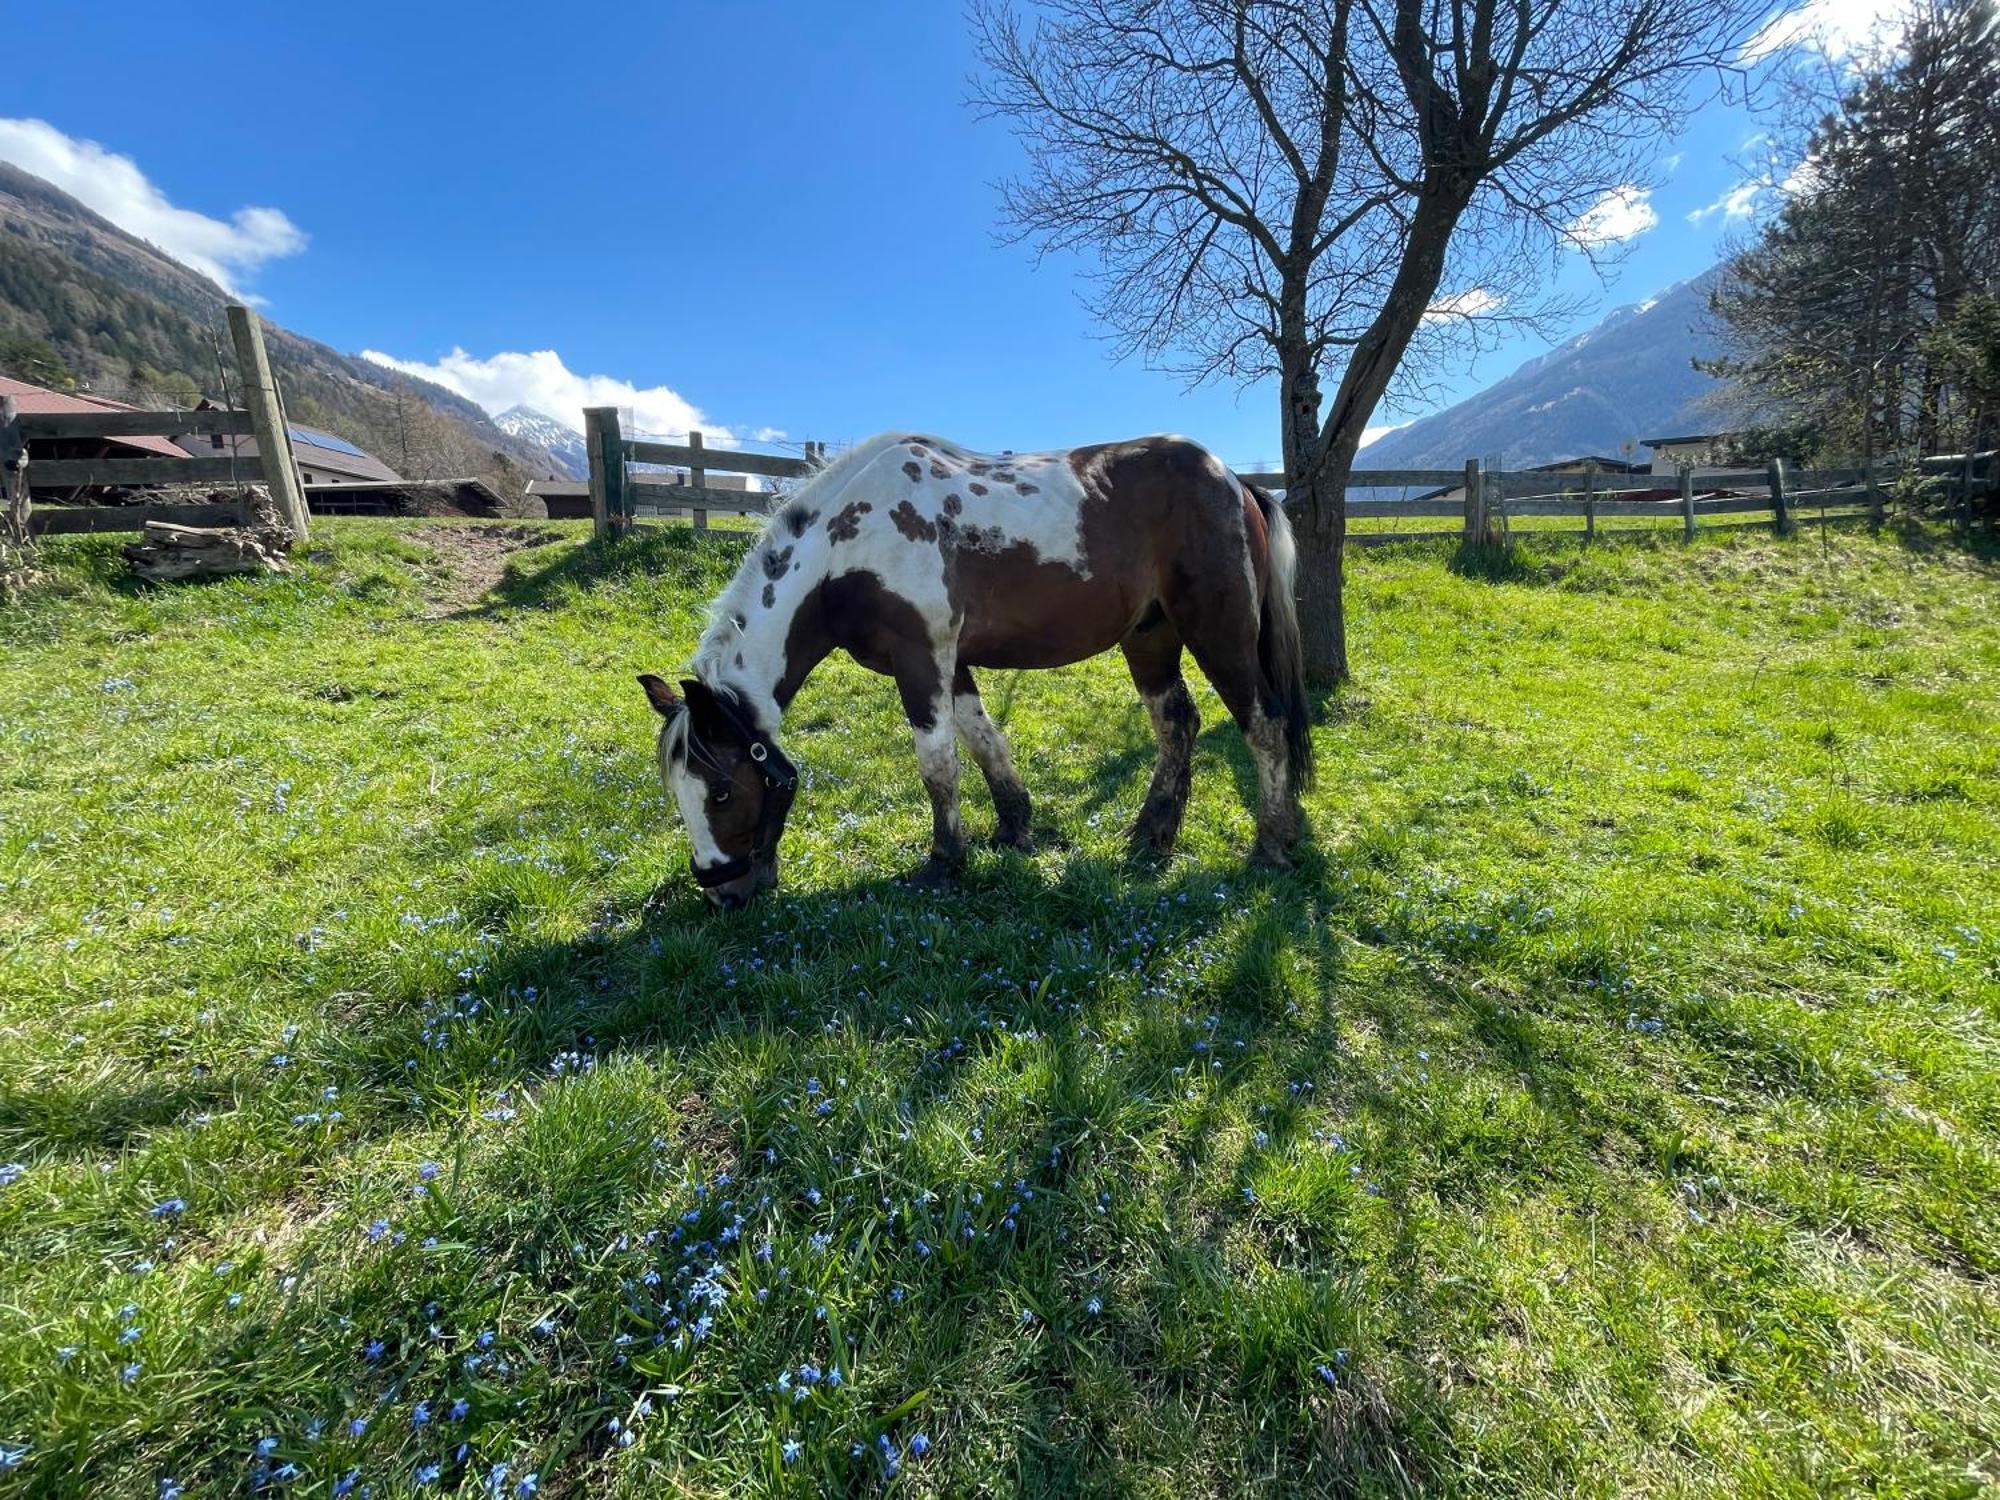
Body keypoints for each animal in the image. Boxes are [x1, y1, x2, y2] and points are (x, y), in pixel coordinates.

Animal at [640, 428, 1320, 912]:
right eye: (678, 793)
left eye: (721, 791)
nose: (722, 894)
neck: (846, 547)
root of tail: (1237, 481)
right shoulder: (952, 663)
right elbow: (984, 739)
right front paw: (1013, 827)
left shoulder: (921, 660)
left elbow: (939, 765)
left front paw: (945, 861)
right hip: (1150, 637)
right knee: (1177, 724)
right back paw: (1152, 834)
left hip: (1220, 634)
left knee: (1265, 725)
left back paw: (1270, 846)